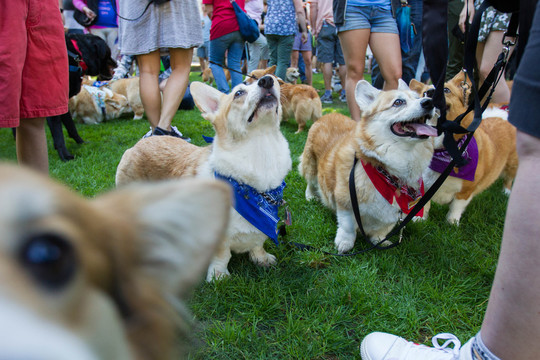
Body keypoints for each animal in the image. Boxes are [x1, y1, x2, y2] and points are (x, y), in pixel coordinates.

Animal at [115, 74, 292, 280]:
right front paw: (218, 275)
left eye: (273, 80)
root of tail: (142, 142)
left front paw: (261, 259)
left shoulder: (261, 227)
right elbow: (222, 255)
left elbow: (257, 244)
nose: (267, 80)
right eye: (238, 93)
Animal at [300, 79, 438, 253]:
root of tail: (328, 114)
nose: (429, 102)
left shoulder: (392, 214)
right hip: (311, 164)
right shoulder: (345, 200)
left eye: (419, 97)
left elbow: (382, 230)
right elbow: (348, 226)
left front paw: (379, 241)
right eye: (398, 102)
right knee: (310, 181)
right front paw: (344, 243)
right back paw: (310, 196)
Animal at [410, 71, 520, 224]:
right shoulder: (424, 187)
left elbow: (455, 208)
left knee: (509, 178)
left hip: (512, 164)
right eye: (424, 93)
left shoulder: (465, 192)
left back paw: (506, 192)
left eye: (446, 90)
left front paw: (452, 223)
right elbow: (424, 205)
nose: (429, 94)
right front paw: (419, 220)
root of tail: (503, 114)